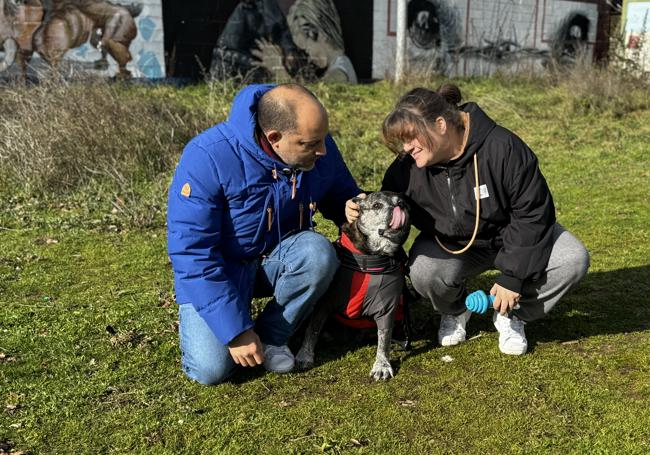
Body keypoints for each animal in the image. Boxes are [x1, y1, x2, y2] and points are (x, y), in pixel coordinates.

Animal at [294, 192, 408, 382]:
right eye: (377, 205)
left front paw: (382, 365)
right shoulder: (324, 302)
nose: (400, 205)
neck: (370, 256)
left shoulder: (387, 307)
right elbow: (313, 329)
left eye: (402, 202)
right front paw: (305, 355)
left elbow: (384, 338)